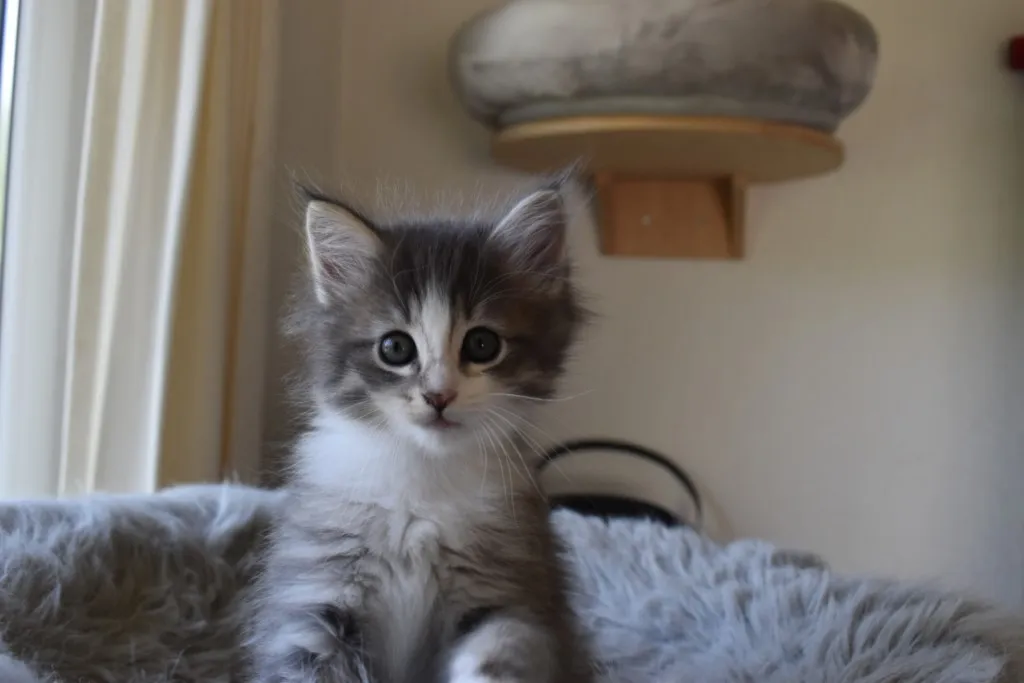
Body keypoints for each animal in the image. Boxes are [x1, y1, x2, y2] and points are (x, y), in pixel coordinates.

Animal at [246, 181, 591, 683]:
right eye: (395, 348)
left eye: (482, 344)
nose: (438, 395)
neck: (423, 479)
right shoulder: (316, 598)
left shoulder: (511, 596)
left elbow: (496, 655)